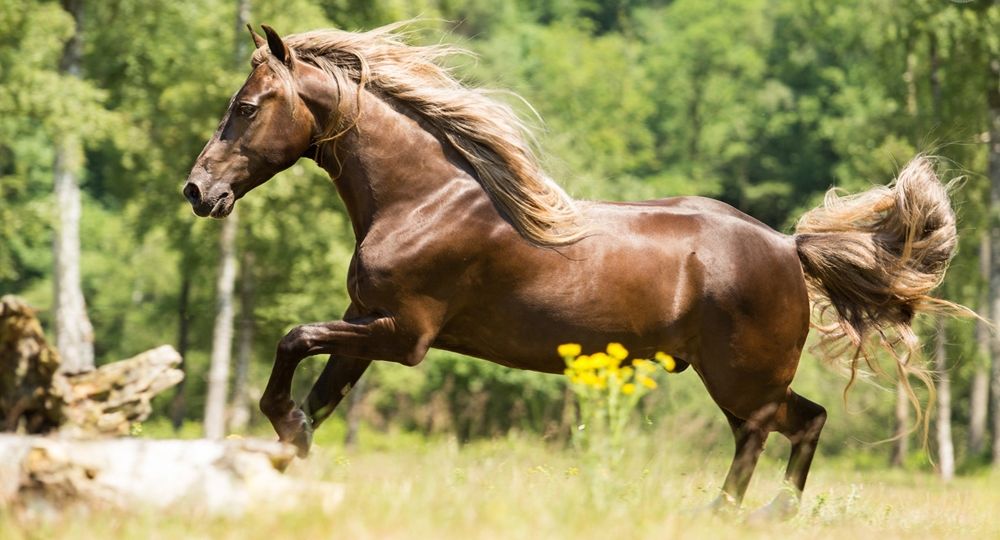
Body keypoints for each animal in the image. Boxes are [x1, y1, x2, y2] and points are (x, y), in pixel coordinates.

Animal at [184, 23, 956, 520]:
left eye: (245, 107)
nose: (198, 191)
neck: (424, 199)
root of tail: (788, 248)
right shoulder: (363, 321)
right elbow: (318, 403)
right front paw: (286, 462)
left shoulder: (402, 334)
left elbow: (291, 341)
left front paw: (278, 426)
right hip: (743, 380)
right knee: (785, 427)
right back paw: (746, 512)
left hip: (743, 376)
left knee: (782, 429)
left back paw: (745, 512)